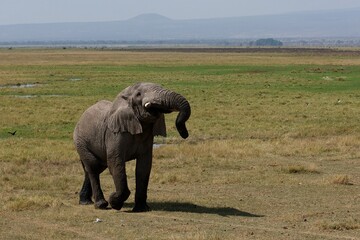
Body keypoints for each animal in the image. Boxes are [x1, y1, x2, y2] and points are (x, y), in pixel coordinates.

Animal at [73, 82, 191, 212]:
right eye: (138, 94)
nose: (185, 134)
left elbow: (144, 167)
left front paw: (141, 209)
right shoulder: (114, 133)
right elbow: (116, 162)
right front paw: (114, 203)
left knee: (93, 168)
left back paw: (86, 202)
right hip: (80, 141)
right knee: (93, 166)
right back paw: (101, 205)